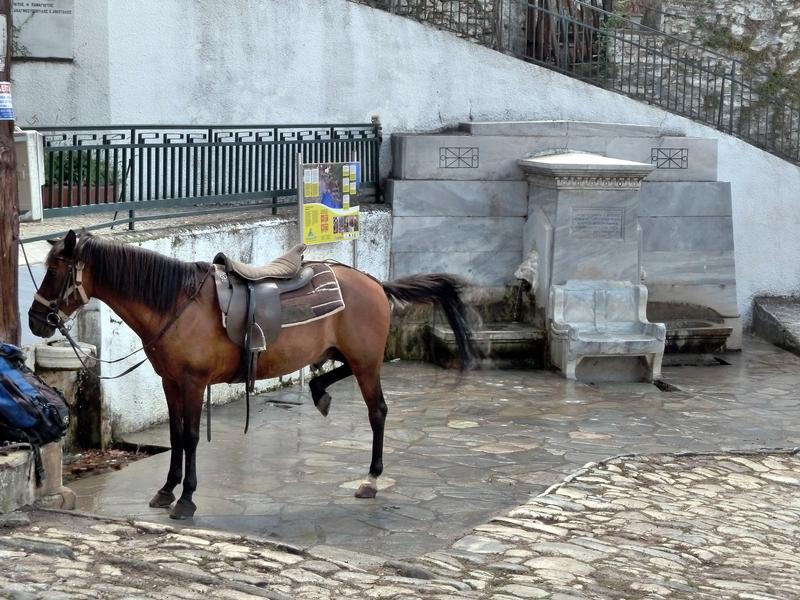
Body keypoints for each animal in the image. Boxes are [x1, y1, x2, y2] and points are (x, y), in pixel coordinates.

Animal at [26, 230, 476, 520]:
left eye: (55, 271)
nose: (35, 320)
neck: (175, 302)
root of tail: (374, 282)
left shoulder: (193, 384)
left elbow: (191, 438)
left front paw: (186, 500)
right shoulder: (171, 382)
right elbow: (176, 436)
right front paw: (166, 490)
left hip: (367, 362)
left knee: (378, 412)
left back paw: (371, 479)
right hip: (351, 355)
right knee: (338, 377)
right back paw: (318, 391)